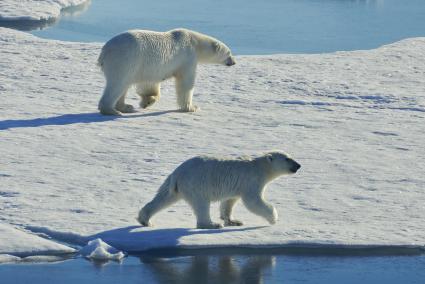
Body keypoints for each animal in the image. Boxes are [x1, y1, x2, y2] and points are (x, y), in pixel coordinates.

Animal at [96, 27, 235, 114]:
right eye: (229, 52)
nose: (234, 62)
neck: (195, 43)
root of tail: (104, 51)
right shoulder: (187, 57)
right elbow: (186, 83)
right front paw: (192, 107)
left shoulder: (149, 67)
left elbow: (149, 83)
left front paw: (147, 101)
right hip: (125, 60)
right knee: (118, 84)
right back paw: (112, 111)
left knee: (124, 85)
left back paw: (126, 107)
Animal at [137, 152, 300, 230]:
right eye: (287, 158)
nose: (298, 165)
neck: (260, 166)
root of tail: (178, 173)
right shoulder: (252, 180)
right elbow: (253, 201)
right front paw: (273, 218)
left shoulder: (236, 186)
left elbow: (229, 202)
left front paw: (233, 221)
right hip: (197, 184)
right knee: (202, 205)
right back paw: (211, 224)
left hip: (174, 185)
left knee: (163, 197)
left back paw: (145, 220)